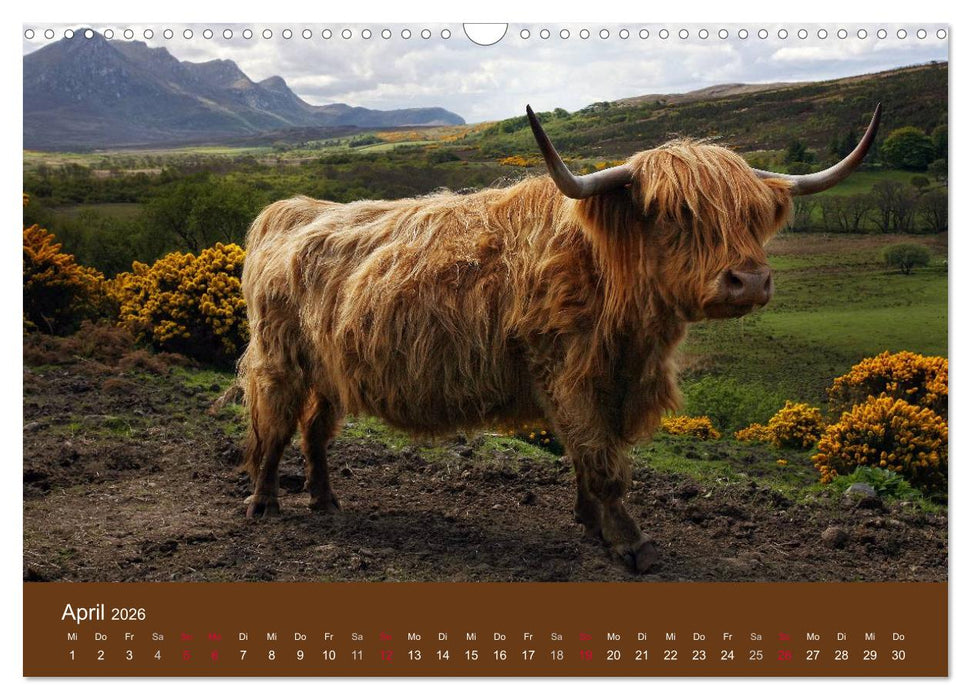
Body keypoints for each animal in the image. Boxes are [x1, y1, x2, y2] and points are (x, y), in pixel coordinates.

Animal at [237, 104, 881, 572]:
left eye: (751, 216)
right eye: (677, 215)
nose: (749, 280)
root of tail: (291, 210)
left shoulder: (611, 381)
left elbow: (591, 455)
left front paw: (591, 523)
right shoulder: (567, 374)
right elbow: (601, 460)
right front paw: (630, 543)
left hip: (329, 370)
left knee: (315, 431)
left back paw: (325, 500)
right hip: (280, 359)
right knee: (275, 429)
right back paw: (264, 503)